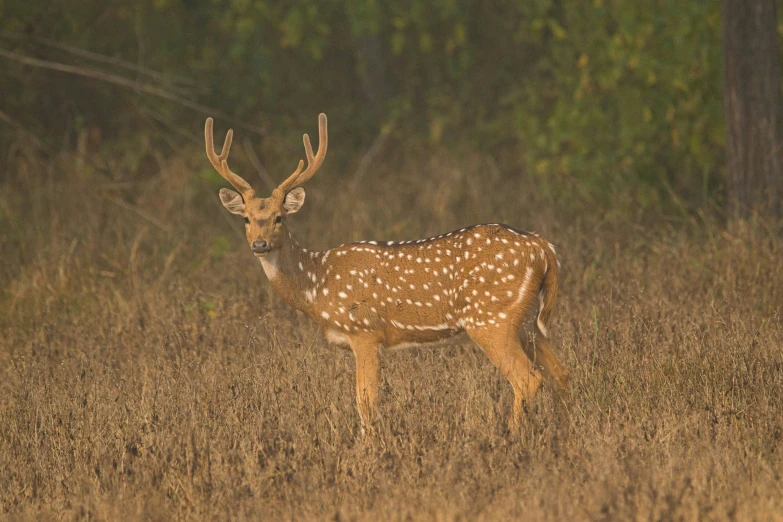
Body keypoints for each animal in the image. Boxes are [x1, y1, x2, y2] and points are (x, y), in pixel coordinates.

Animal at [205, 112, 568, 430]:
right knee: (561, 374)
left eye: (280, 217)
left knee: (528, 379)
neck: (316, 285)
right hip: (526, 321)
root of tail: (542, 248)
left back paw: (513, 437)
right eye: (246, 219)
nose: (260, 244)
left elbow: (365, 402)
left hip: (491, 319)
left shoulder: (365, 331)